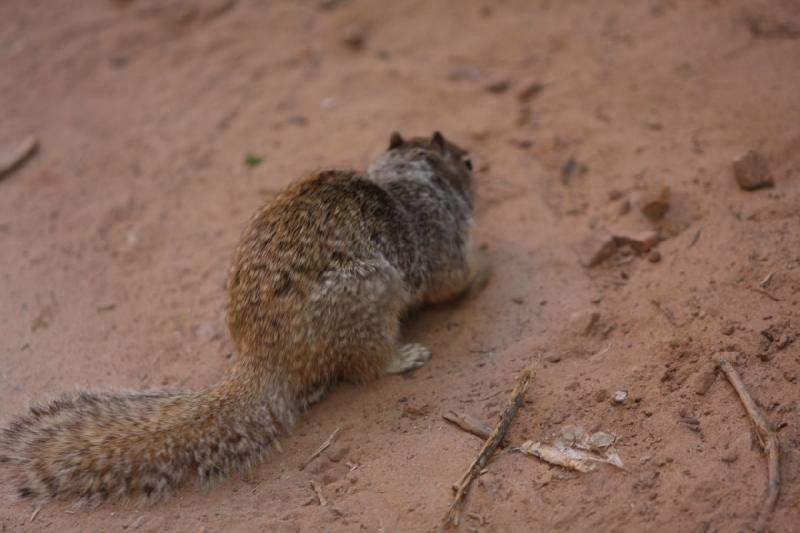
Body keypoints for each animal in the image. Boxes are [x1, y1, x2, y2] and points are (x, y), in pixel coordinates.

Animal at [1, 130, 488, 502]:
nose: (477, 164)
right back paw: (400, 358)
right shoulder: (440, 239)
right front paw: (485, 266)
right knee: (363, 366)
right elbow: (455, 279)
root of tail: (263, 358)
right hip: (374, 294)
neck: (405, 175)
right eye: (467, 162)